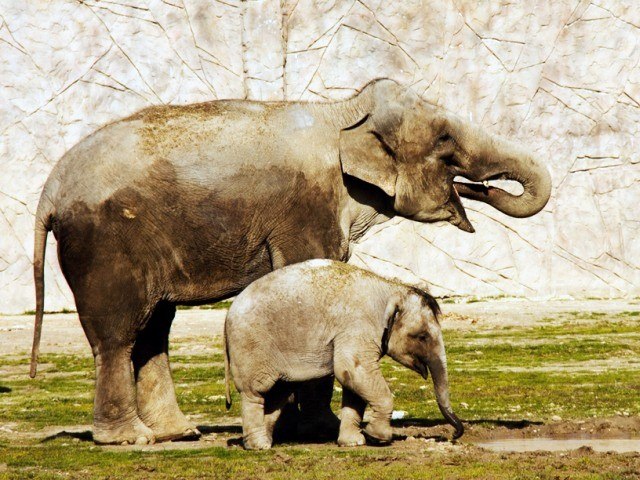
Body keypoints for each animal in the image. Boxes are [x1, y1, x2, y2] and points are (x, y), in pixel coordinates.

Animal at [224, 259, 464, 450]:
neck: (391, 288)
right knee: (255, 392)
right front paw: (378, 438)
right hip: (252, 346)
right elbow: (352, 370)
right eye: (422, 337)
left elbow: (354, 382)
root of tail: (227, 315)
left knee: (277, 394)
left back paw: (265, 441)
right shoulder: (357, 327)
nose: (454, 434)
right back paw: (259, 447)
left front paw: (353, 442)